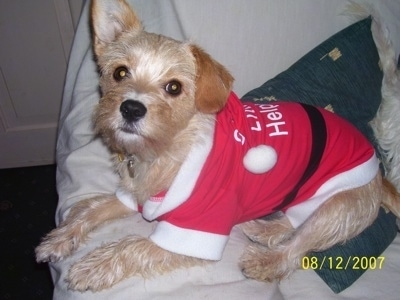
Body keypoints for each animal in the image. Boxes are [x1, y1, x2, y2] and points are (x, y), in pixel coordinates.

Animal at [34, 0, 400, 292]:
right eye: (120, 72)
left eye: (174, 87)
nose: (131, 108)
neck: (166, 154)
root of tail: (380, 175)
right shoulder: (131, 196)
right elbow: (91, 209)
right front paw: (60, 239)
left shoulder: (194, 231)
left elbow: (132, 245)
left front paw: (92, 266)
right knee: (291, 225)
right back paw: (260, 227)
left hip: (337, 207)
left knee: (296, 249)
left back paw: (264, 260)